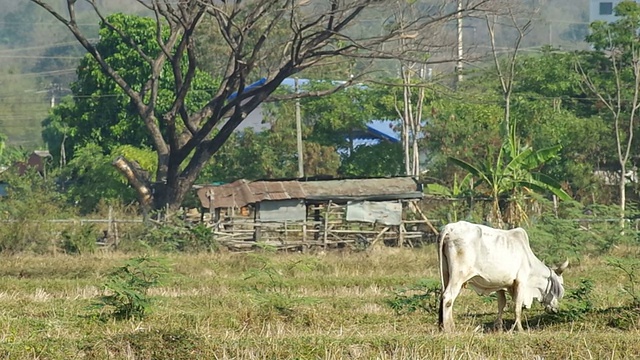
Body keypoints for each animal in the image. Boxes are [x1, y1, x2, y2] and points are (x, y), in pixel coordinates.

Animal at [438, 221, 568, 334]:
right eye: (559, 286)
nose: (556, 309)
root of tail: (449, 228)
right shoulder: (521, 282)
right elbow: (517, 307)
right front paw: (520, 329)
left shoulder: (499, 285)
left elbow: (501, 305)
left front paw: (498, 328)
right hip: (458, 275)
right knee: (448, 297)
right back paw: (449, 328)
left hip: (446, 273)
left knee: (442, 296)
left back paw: (442, 326)